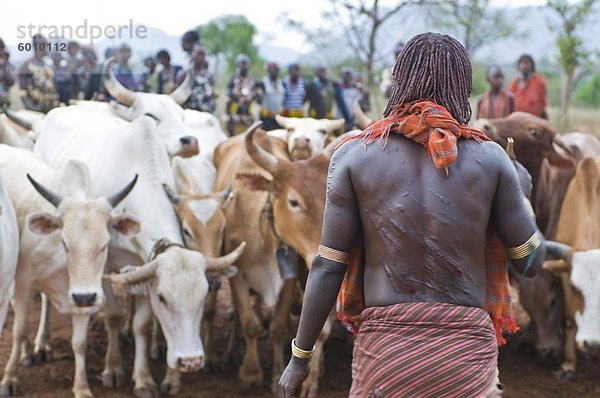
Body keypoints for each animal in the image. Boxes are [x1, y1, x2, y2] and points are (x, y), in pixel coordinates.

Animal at [0, 145, 139, 396]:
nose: (84, 296)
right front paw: (10, 379)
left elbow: (79, 343)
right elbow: (19, 329)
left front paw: (81, 387)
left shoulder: (85, 295)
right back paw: (29, 350)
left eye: (105, 244)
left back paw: (43, 344)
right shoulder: (24, 280)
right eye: (64, 242)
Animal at [34, 114, 245, 394]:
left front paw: (144, 379)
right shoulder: (102, 268)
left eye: (202, 296)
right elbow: (113, 315)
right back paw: (42, 343)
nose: (190, 361)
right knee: (46, 298)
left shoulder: (143, 266)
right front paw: (113, 368)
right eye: (163, 298)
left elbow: (141, 325)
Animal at [216, 123, 338, 396]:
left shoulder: (289, 280)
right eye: (294, 201)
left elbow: (279, 328)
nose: (320, 254)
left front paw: (276, 376)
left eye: (329, 198)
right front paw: (250, 373)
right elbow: (249, 323)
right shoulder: (237, 274)